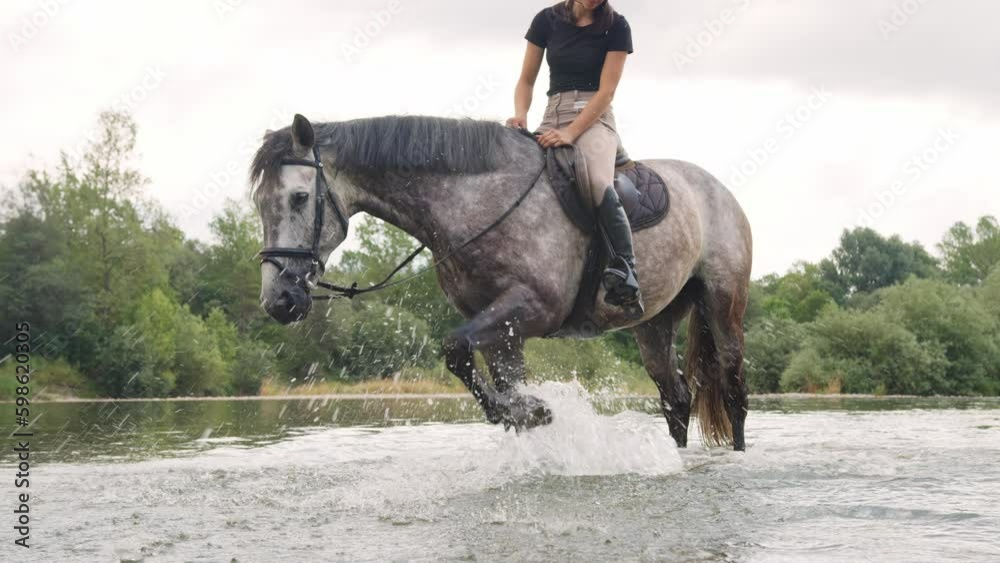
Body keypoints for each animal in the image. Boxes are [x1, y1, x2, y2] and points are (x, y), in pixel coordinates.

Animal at [250, 114, 753, 451]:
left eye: (299, 197)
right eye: (258, 203)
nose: (279, 300)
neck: (477, 200)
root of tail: (716, 188)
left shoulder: (531, 308)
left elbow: (454, 347)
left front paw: (535, 411)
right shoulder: (500, 328)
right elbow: (491, 381)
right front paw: (527, 416)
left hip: (724, 304)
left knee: (732, 391)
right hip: (654, 323)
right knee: (675, 399)